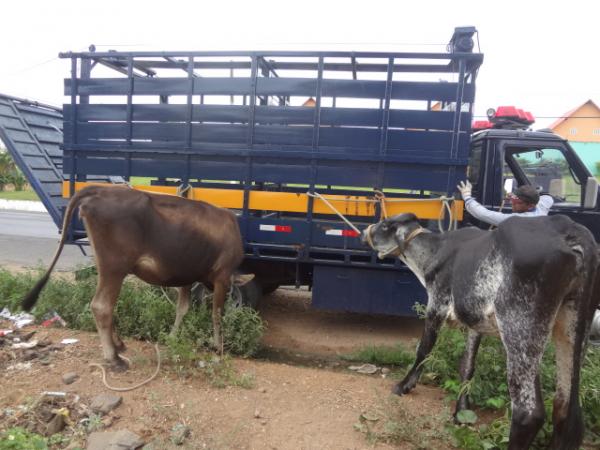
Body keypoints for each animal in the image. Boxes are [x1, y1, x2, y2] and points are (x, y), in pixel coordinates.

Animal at [21, 185, 246, 370]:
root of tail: (101, 189)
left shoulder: (186, 276)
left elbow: (182, 309)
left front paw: (172, 337)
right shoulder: (222, 276)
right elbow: (217, 314)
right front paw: (218, 348)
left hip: (106, 267)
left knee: (107, 305)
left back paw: (118, 345)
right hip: (115, 266)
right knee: (102, 306)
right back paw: (113, 358)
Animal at [364, 214, 596, 450]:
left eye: (385, 225)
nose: (366, 231)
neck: (435, 250)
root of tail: (569, 229)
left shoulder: (436, 306)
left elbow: (424, 350)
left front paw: (404, 386)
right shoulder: (475, 323)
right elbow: (467, 365)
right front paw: (461, 411)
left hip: (520, 328)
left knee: (528, 413)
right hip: (573, 326)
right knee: (564, 406)